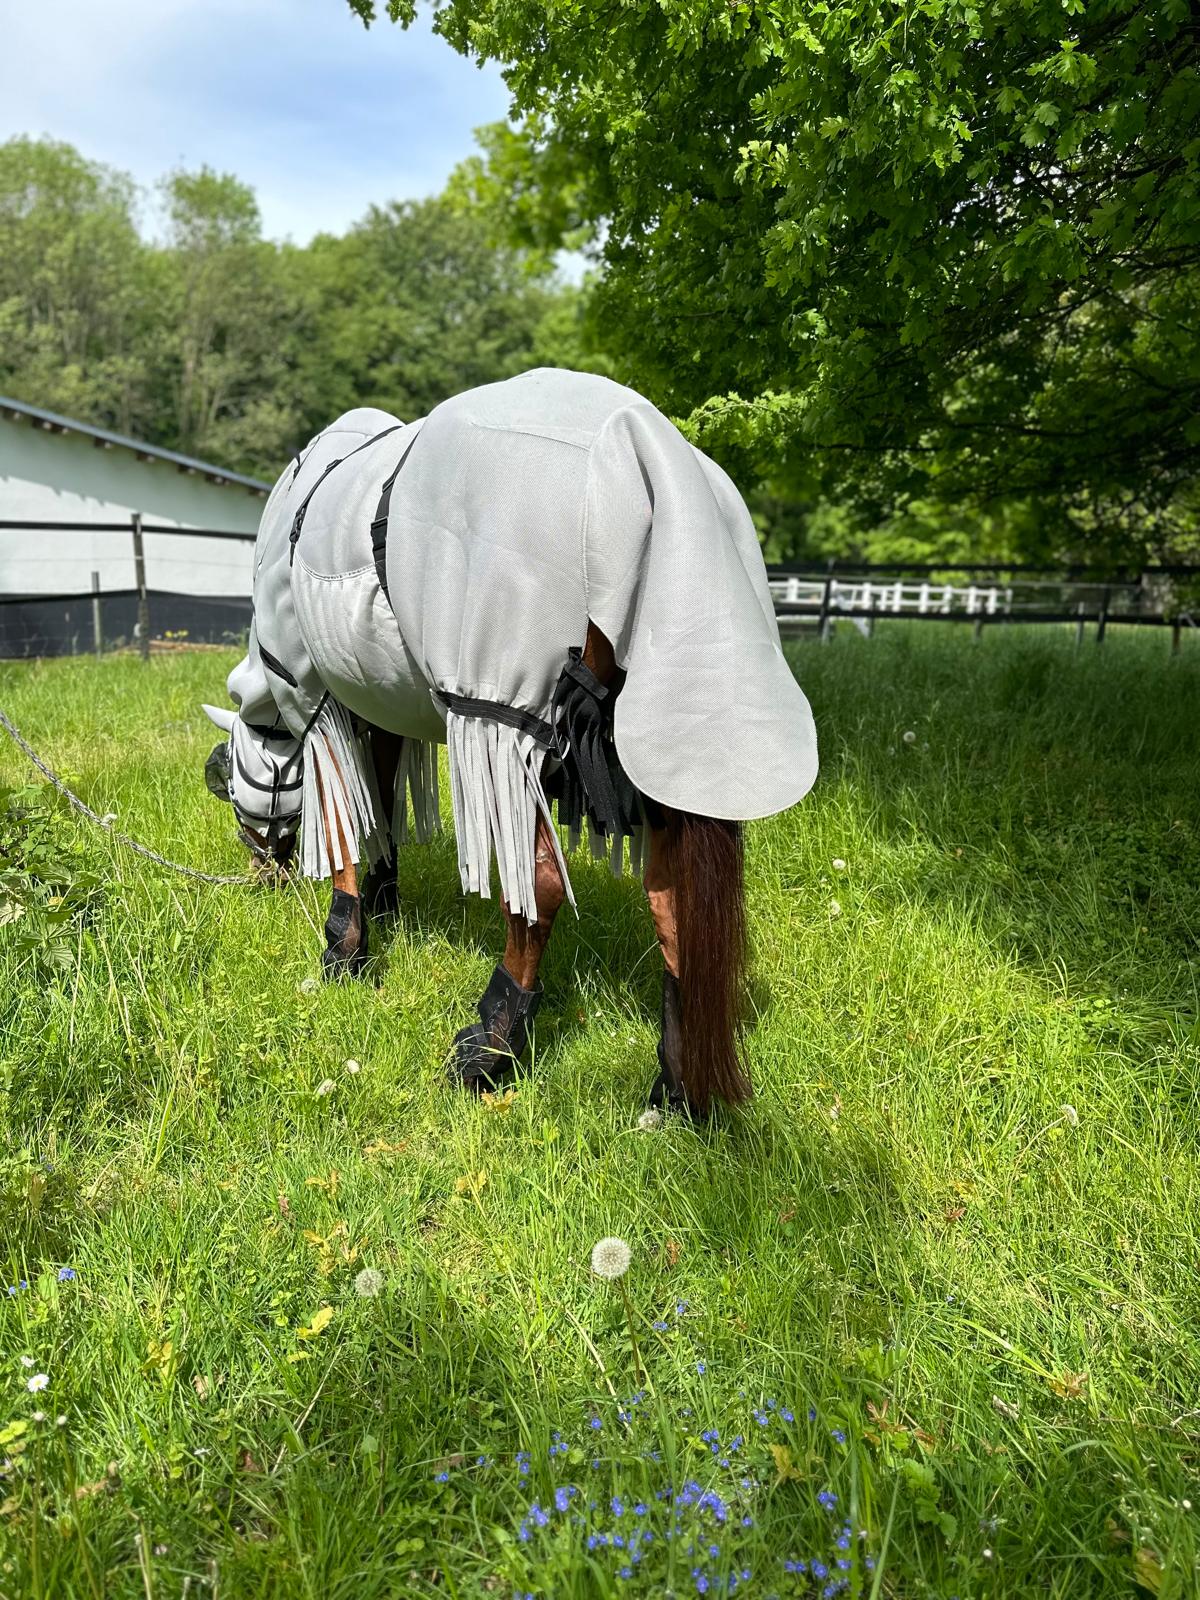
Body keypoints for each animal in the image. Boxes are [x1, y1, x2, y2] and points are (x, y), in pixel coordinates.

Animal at [202, 369, 818, 1113]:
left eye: (230, 788)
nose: (262, 874)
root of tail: (643, 444)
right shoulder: (375, 695)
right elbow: (379, 796)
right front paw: (383, 896)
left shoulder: (318, 700)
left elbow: (349, 821)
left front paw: (344, 949)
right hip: (663, 745)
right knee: (674, 907)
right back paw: (674, 1089)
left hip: (508, 721)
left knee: (539, 888)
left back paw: (491, 1043)